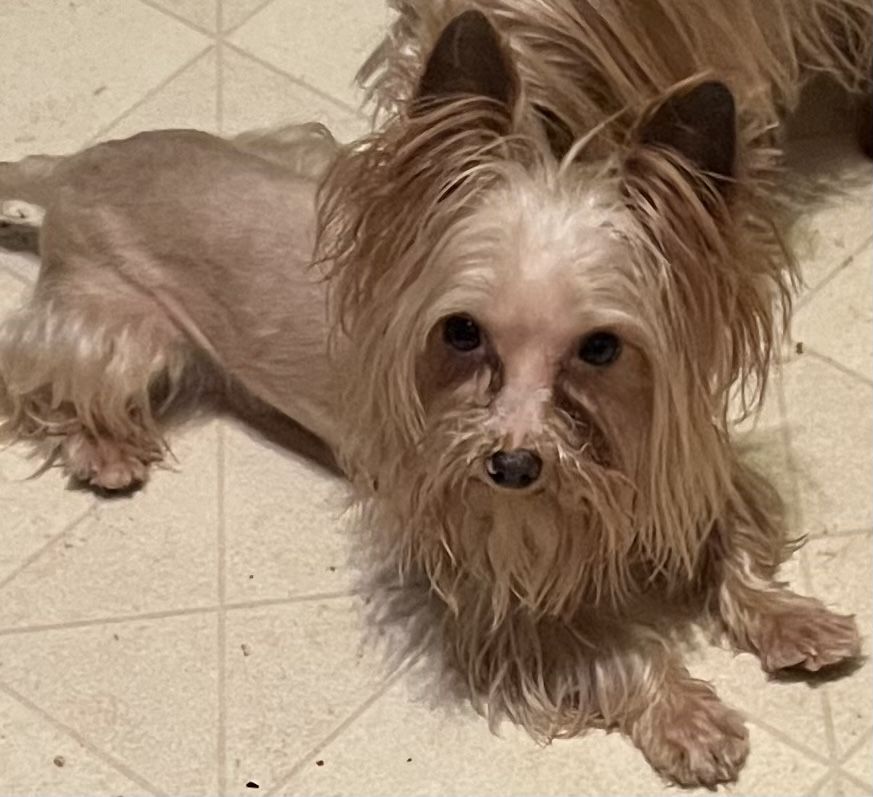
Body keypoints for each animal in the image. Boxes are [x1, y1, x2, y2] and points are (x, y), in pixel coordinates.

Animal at [1, 0, 870, 787]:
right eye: (460, 332)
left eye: (600, 348)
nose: (511, 469)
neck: (596, 463)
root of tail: (72, 164)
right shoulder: (497, 594)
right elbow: (611, 647)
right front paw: (689, 717)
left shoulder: (687, 464)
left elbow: (734, 543)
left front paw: (793, 619)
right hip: (119, 327)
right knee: (39, 371)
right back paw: (104, 447)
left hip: (309, 151)